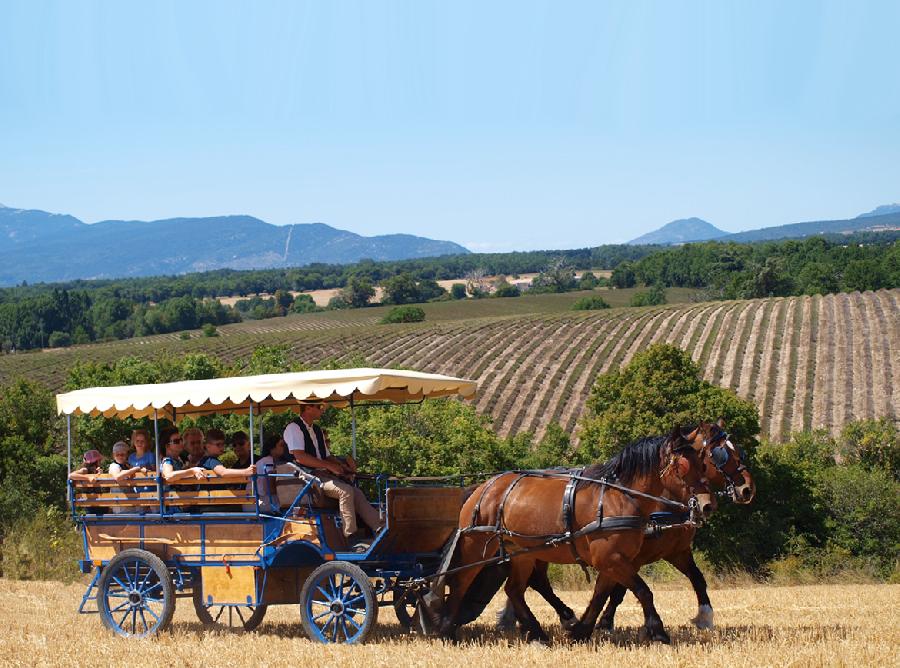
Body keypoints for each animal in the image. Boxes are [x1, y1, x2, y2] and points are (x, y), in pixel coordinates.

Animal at [428, 426, 716, 644]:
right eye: (683, 465)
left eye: (703, 464)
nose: (707, 505)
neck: (620, 497)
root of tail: (482, 487)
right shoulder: (612, 559)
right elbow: (643, 591)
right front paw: (658, 631)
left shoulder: (614, 560)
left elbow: (601, 594)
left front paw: (581, 630)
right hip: (477, 547)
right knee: (460, 582)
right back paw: (446, 628)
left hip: (521, 553)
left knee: (515, 589)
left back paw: (538, 633)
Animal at [496, 420, 756, 636]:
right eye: (719, 454)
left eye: (738, 450)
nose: (747, 489)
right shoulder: (627, 556)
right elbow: (619, 591)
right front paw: (607, 624)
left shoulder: (676, 551)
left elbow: (697, 579)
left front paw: (705, 617)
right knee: (533, 582)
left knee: (533, 582)